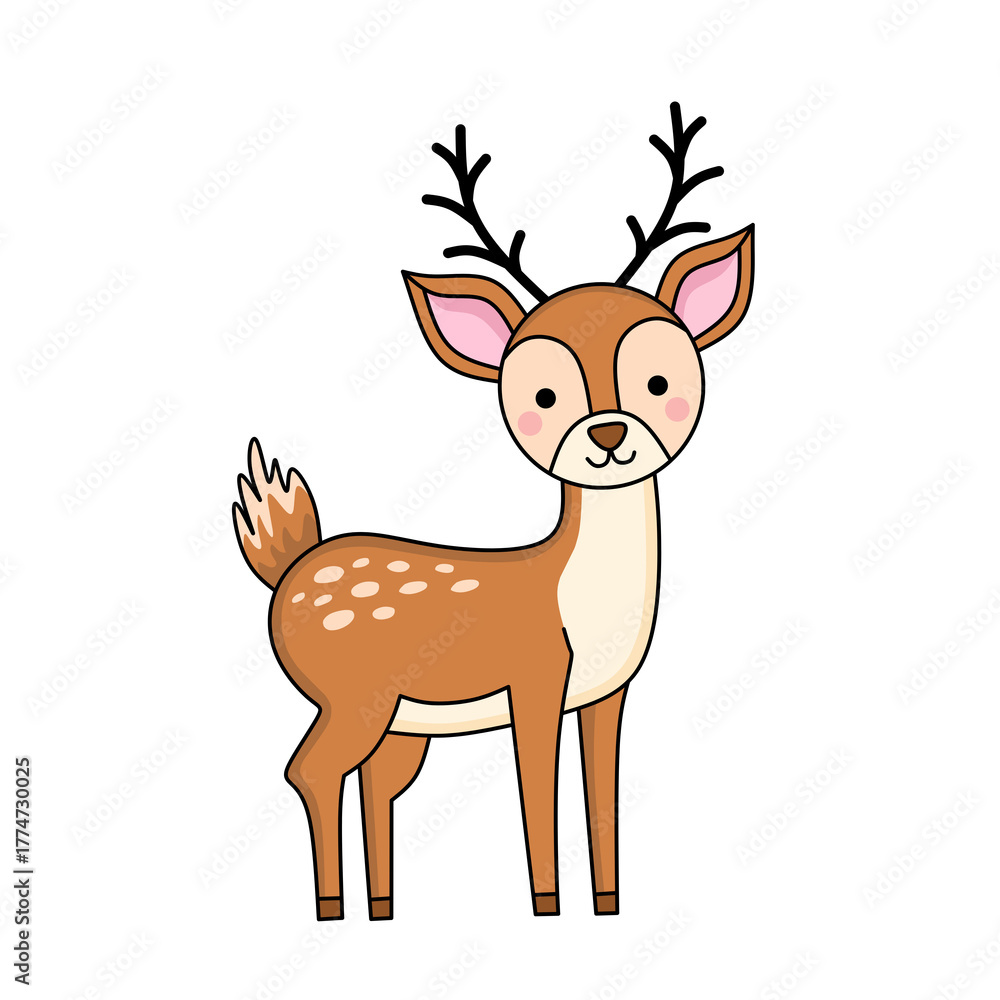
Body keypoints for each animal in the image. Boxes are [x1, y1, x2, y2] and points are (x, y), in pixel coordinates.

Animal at [233, 102, 755, 921]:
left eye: (659, 380)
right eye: (542, 395)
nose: (608, 434)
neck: (584, 597)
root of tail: (287, 564)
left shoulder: (605, 694)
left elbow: (600, 794)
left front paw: (608, 902)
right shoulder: (534, 679)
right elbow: (534, 791)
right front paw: (546, 905)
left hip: (402, 723)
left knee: (373, 785)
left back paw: (383, 908)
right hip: (352, 695)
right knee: (309, 772)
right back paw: (330, 908)